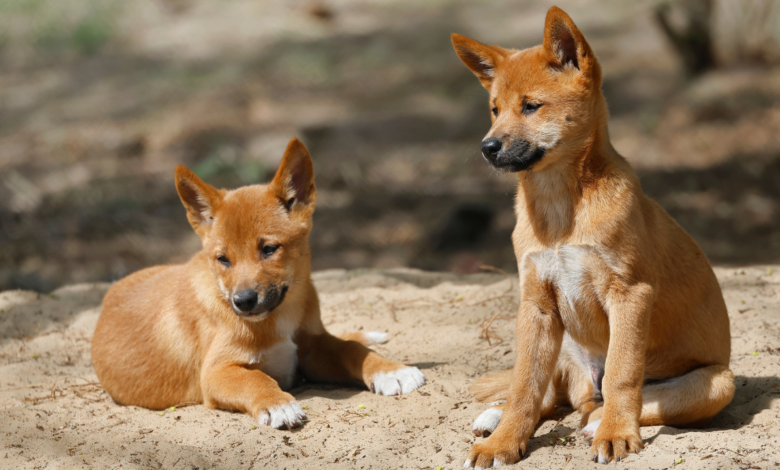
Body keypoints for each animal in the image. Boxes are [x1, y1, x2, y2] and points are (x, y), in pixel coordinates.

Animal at [94, 138, 430, 428]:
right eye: (223, 259)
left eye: (269, 249)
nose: (243, 301)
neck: (279, 318)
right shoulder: (216, 372)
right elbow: (255, 378)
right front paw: (277, 403)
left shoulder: (311, 347)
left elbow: (349, 349)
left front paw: (391, 370)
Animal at [454, 5, 736, 468]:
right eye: (494, 110)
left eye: (531, 106)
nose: (487, 148)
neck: (560, 211)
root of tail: (588, 385)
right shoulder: (536, 304)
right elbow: (524, 386)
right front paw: (504, 441)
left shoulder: (630, 295)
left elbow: (624, 375)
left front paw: (617, 433)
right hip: (563, 343)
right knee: (554, 397)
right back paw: (496, 417)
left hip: (717, 382)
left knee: (619, 400)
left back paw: (600, 421)